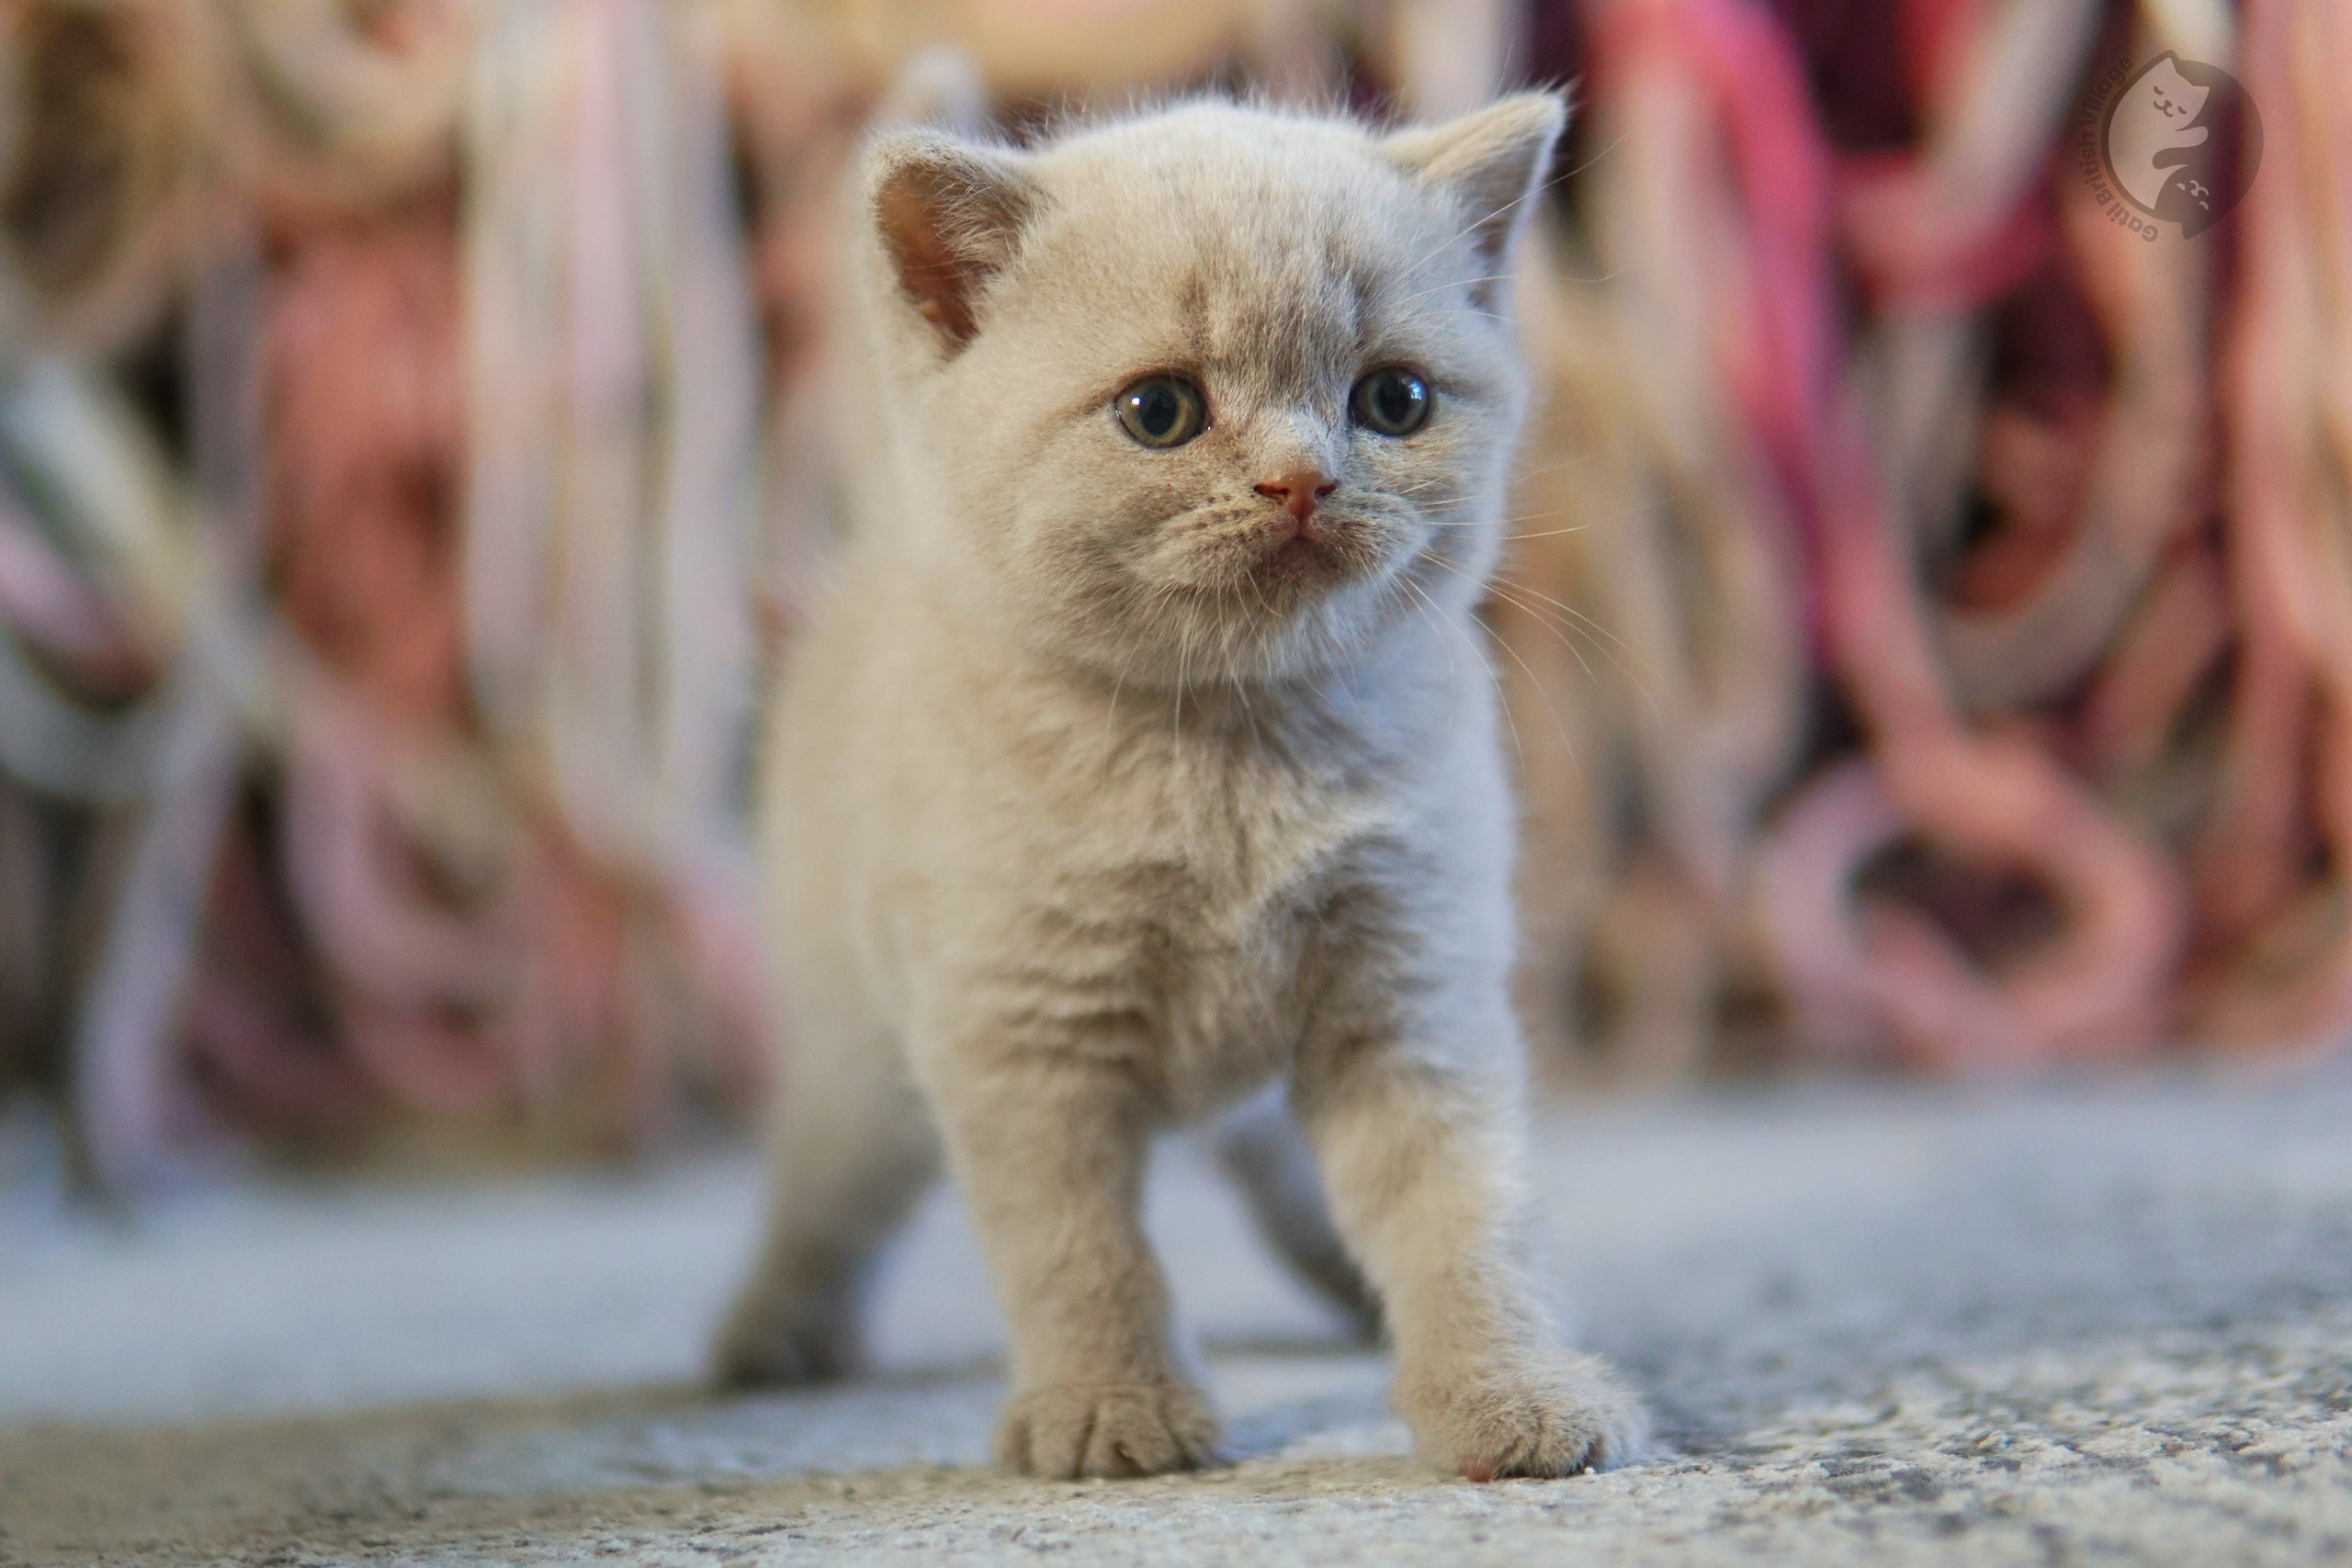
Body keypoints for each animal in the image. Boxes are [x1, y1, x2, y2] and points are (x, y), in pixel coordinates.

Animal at [719, 88, 1656, 1485]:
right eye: (1159, 411)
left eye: (1394, 398)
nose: (1303, 478)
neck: (1227, 750)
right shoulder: (1021, 1032)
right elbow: (1078, 1249)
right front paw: (1113, 1408)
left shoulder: (1410, 994)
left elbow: (1465, 1214)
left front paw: (1510, 1390)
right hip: (861, 1062)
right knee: (827, 1194)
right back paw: (771, 1333)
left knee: (1290, 1181)